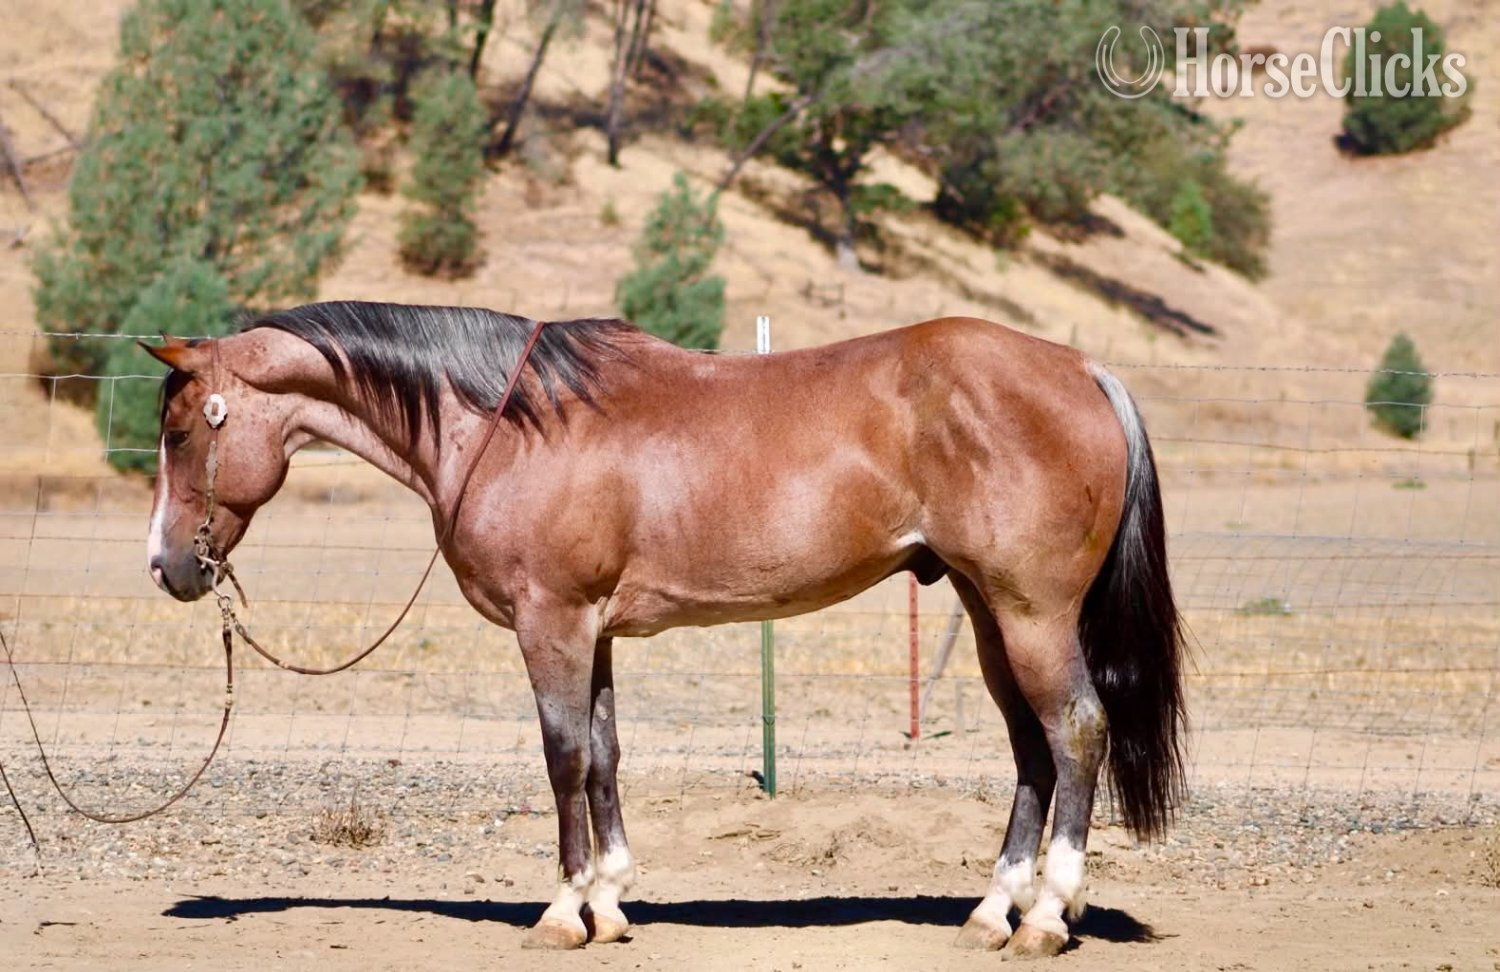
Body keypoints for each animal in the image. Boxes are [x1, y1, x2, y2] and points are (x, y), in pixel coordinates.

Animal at [141, 300, 1185, 958]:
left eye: (184, 431)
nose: (166, 567)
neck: (512, 424)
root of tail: (1081, 368)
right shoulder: (592, 631)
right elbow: (603, 755)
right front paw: (609, 902)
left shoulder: (552, 624)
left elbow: (562, 755)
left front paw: (564, 910)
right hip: (983, 608)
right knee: (1031, 750)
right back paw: (993, 911)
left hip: (1030, 612)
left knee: (1076, 732)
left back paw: (1047, 916)